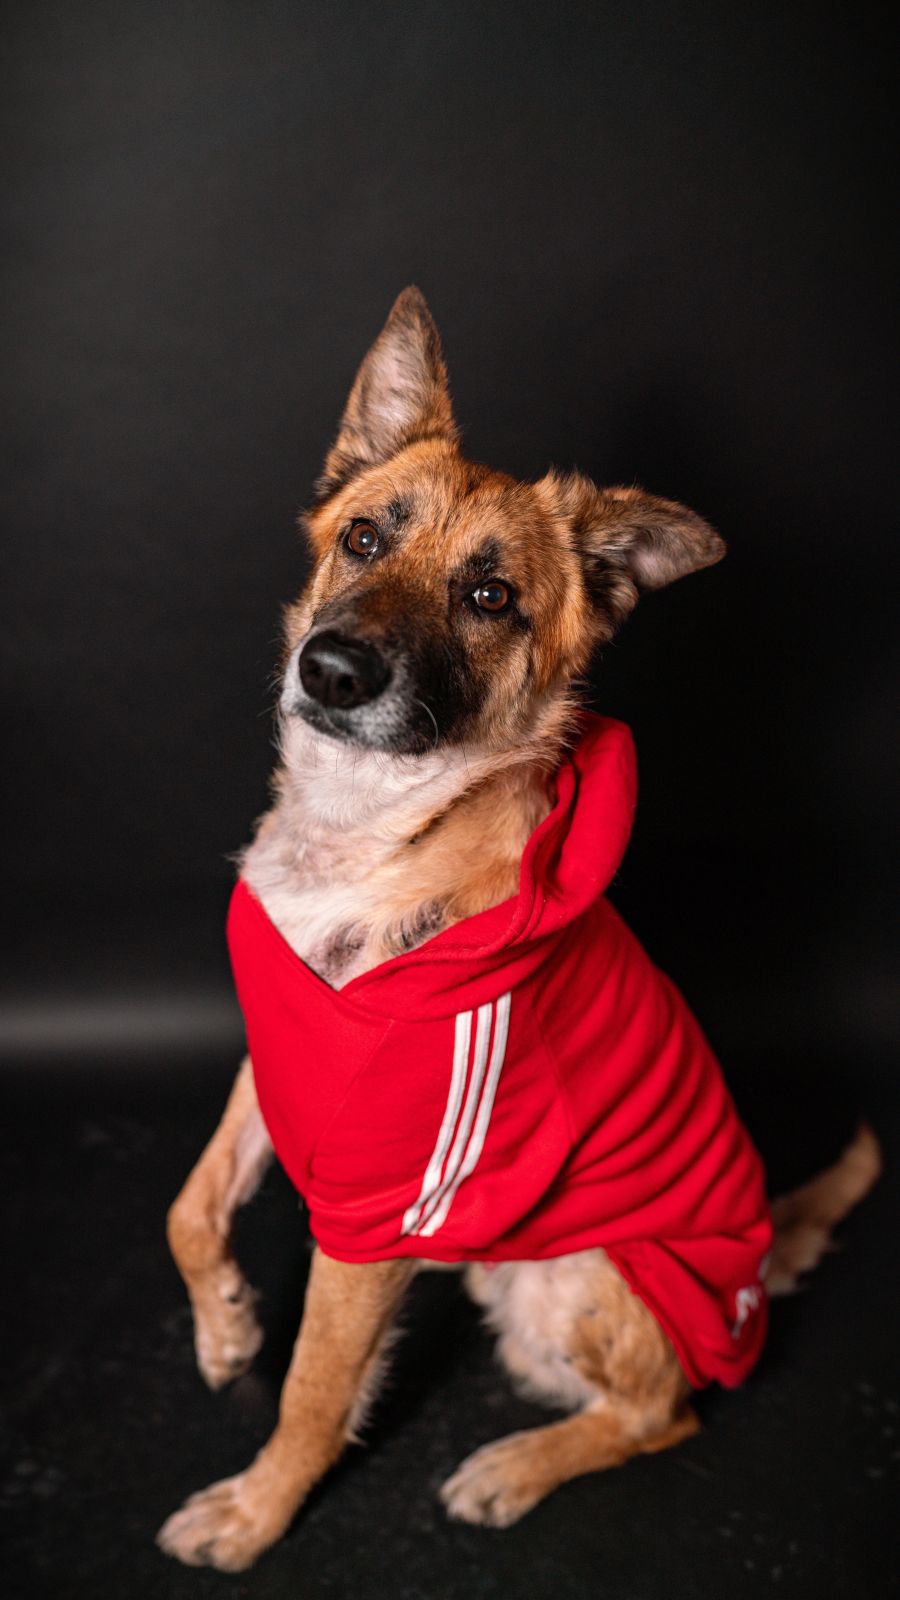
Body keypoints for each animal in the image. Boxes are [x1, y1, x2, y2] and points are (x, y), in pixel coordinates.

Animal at [157, 288, 881, 1571]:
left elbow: (315, 1389)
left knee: (665, 1411)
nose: (331, 670)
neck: (369, 836)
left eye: (489, 598)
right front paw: (226, 1328)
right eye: (363, 539)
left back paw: (513, 1466)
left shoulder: (378, 1215)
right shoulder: (276, 1059)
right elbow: (188, 1207)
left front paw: (255, 1510)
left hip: (576, 1273)